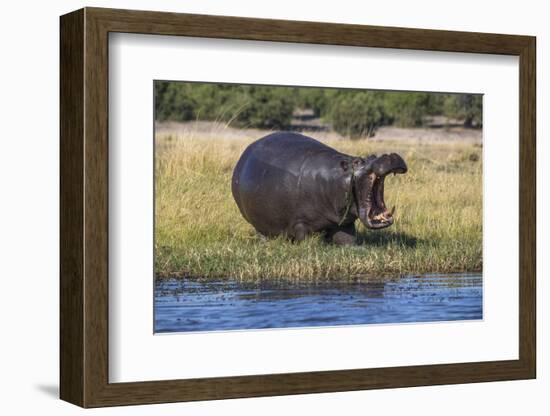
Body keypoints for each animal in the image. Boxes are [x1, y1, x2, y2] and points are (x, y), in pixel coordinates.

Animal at [231, 132, 408, 244]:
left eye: (372, 156)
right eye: (358, 161)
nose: (388, 155)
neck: (337, 178)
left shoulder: (344, 224)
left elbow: (348, 240)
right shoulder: (300, 222)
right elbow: (305, 238)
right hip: (258, 223)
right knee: (263, 233)